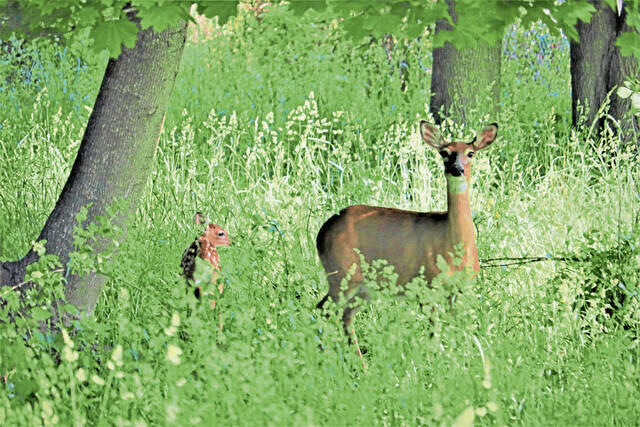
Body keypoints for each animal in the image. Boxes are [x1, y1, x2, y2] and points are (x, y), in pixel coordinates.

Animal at [316, 120, 498, 359]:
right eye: (444, 153)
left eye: (471, 153)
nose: (457, 169)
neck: (455, 247)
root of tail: (322, 232)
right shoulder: (428, 285)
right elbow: (434, 334)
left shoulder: (459, 289)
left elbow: (457, 330)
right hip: (341, 274)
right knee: (323, 310)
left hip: (362, 287)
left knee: (345, 316)